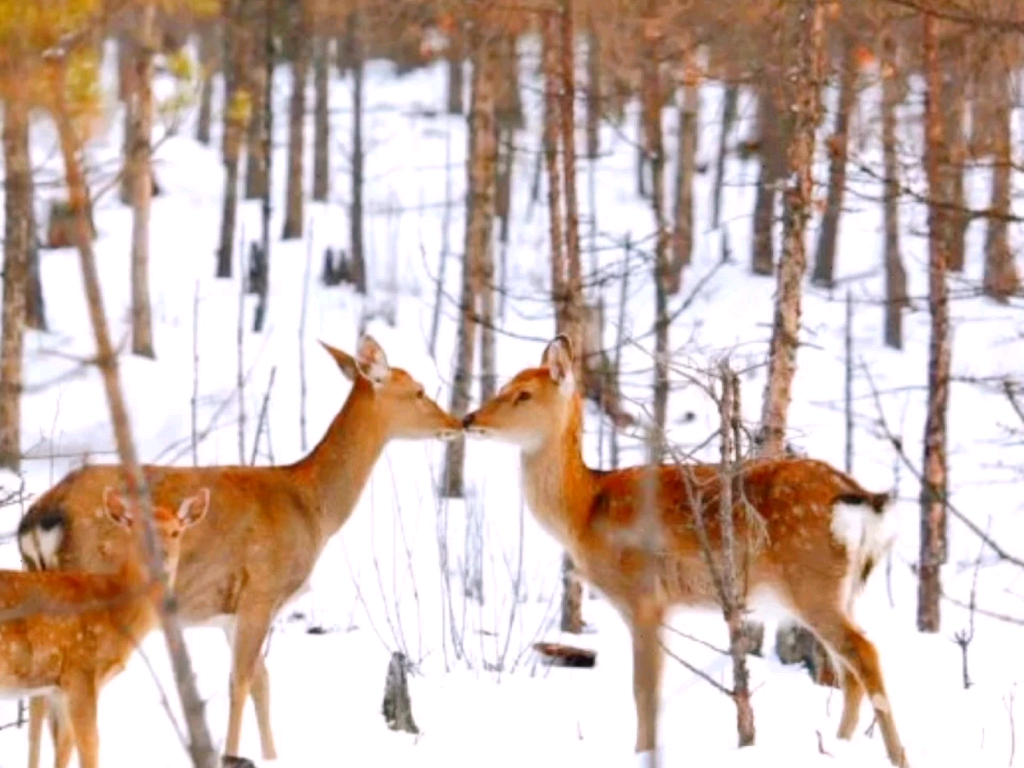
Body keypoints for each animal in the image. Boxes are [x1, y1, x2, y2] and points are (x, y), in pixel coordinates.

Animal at [1, 487, 209, 768]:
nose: (162, 557)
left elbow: (64, 749)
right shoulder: (81, 670)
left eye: (176, 531)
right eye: (138, 529)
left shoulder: (57, 686)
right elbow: (90, 745)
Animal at [460, 335, 909, 768]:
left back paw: (896, 756)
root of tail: (858, 496)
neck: (583, 509)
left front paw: (643, 754)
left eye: (523, 394)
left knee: (864, 654)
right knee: (848, 670)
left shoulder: (644, 597)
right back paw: (840, 745)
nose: (469, 420)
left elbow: (644, 691)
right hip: (841, 588)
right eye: (503, 387)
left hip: (811, 577)